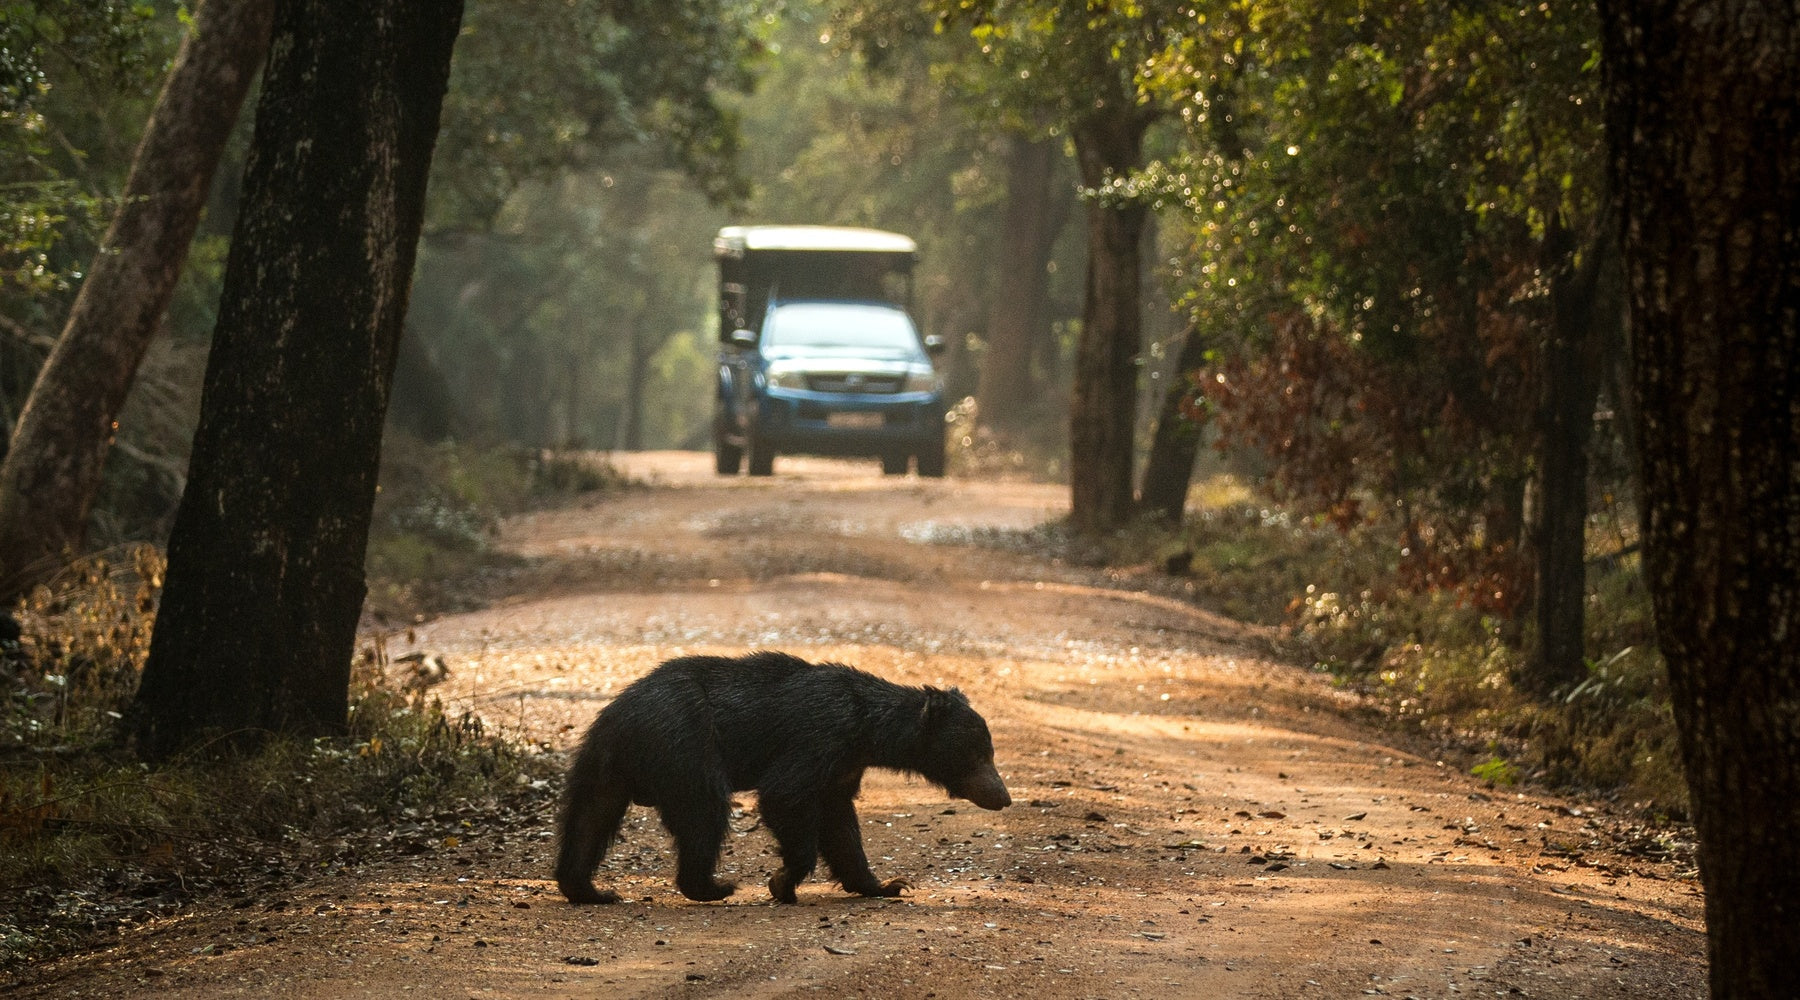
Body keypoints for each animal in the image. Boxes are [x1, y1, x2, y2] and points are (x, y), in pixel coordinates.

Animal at [555, 651, 1010, 905]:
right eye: (979, 755)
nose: (1003, 796)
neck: (867, 733)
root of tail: (620, 714)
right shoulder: (820, 736)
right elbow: (785, 794)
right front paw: (781, 882)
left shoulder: (843, 769)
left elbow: (841, 827)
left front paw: (886, 884)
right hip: (686, 741)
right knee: (705, 810)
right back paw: (713, 886)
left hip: (604, 765)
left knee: (588, 817)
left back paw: (590, 890)